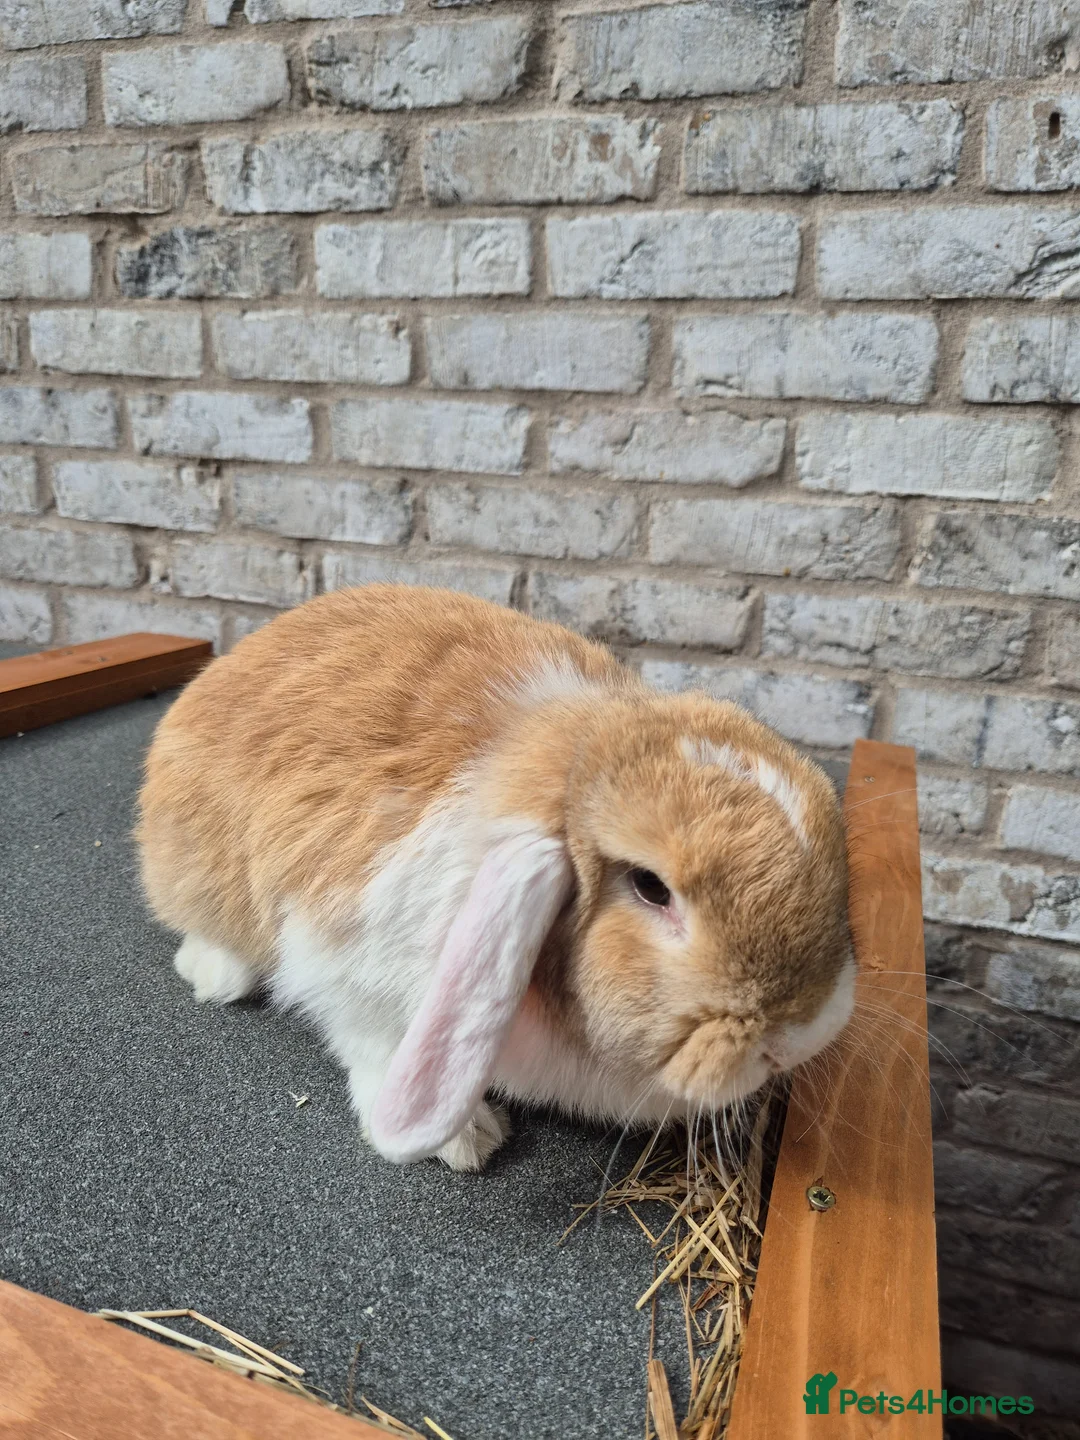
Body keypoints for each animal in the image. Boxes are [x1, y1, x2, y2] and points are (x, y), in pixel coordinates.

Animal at [137, 584, 854, 1172]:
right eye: (651, 887)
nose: (802, 1036)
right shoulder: (345, 966)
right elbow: (372, 1044)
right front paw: (468, 1141)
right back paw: (217, 975)